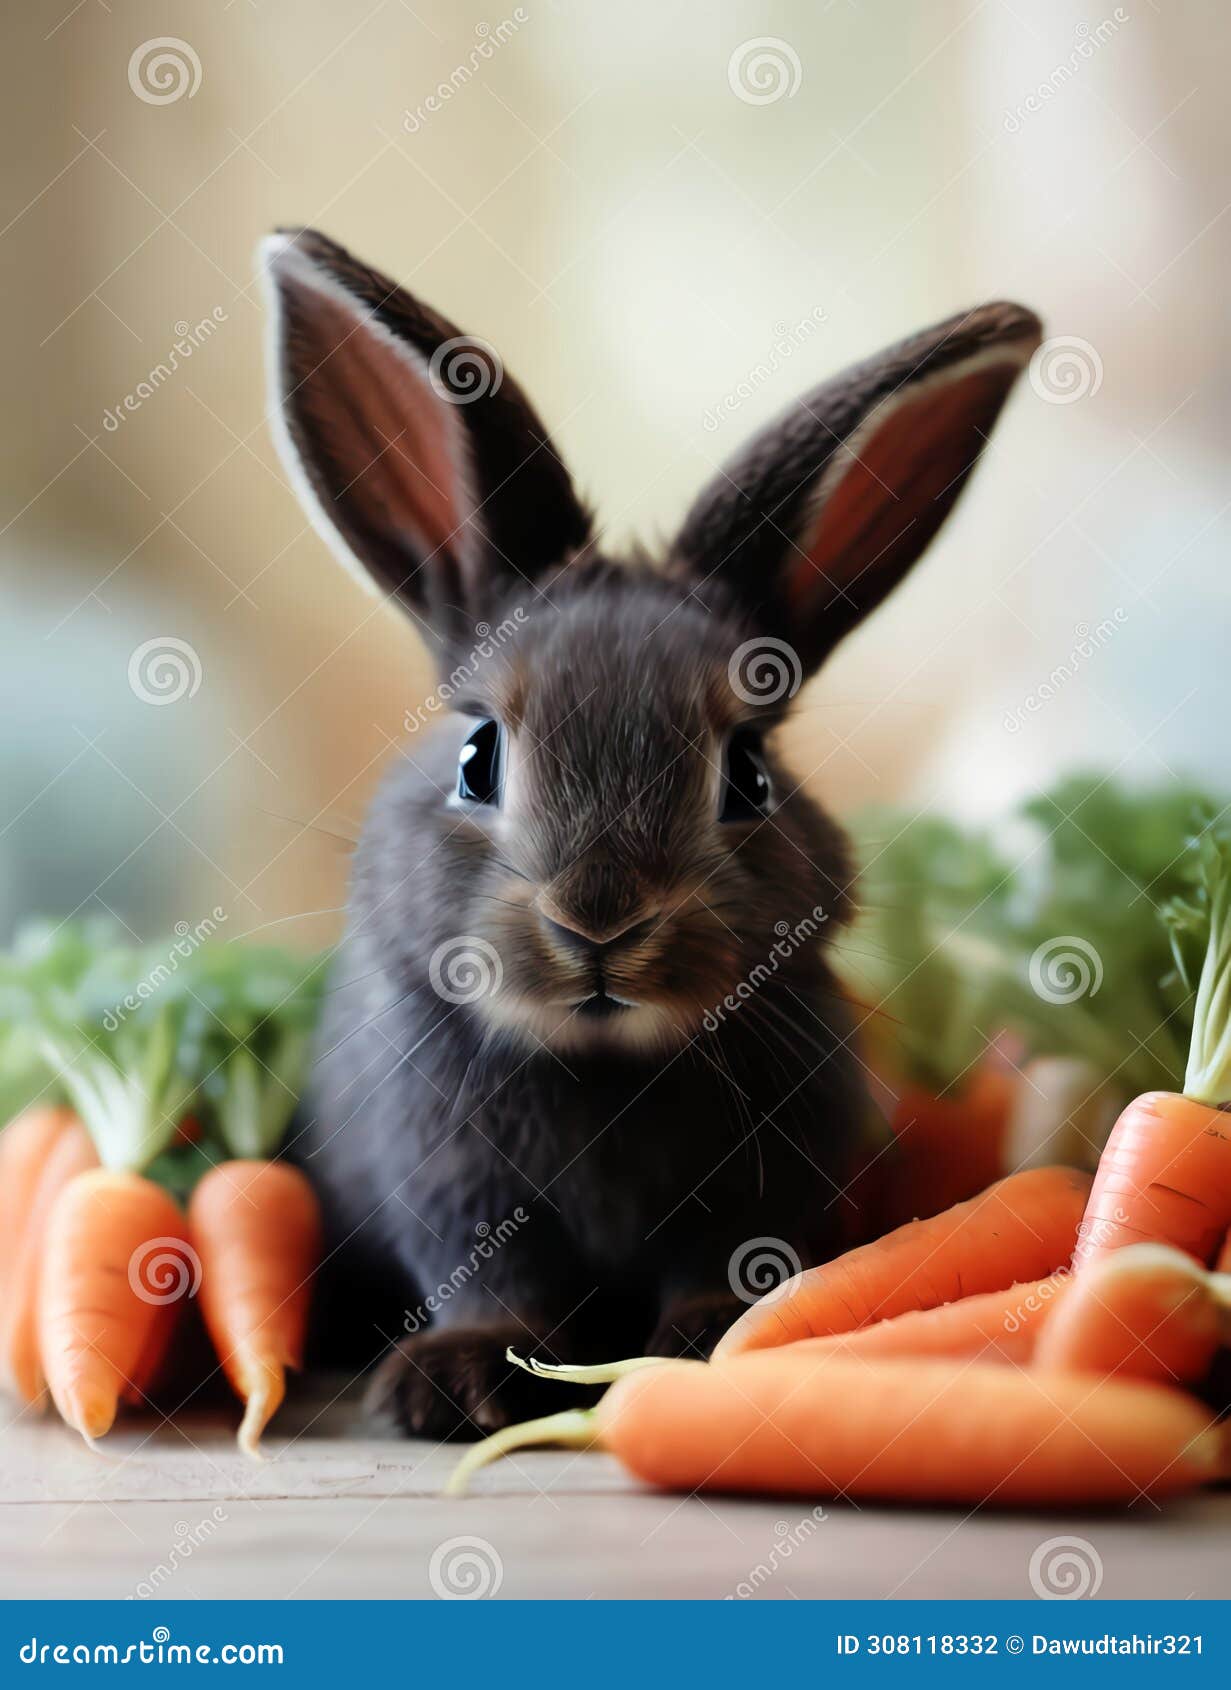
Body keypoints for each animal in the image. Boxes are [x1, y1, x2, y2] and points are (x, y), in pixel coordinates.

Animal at [262, 231, 1041, 1433]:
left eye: (749, 775)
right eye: (477, 758)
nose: (599, 920)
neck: (603, 1065)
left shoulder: (760, 1185)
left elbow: (721, 1263)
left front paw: (711, 1347)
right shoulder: (455, 1182)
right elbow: (496, 1276)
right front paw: (458, 1386)